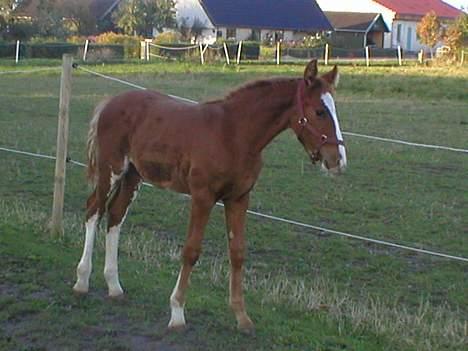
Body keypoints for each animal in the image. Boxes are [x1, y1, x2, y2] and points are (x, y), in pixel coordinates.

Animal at [72, 59, 344, 332]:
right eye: (319, 111)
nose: (338, 161)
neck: (233, 134)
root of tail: (110, 102)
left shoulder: (239, 198)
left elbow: (237, 252)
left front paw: (242, 317)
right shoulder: (203, 197)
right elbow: (191, 250)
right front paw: (177, 313)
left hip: (132, 176)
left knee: (115, 215)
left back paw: (114, 286)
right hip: (111, 170)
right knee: (93, 210)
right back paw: (82, 281)